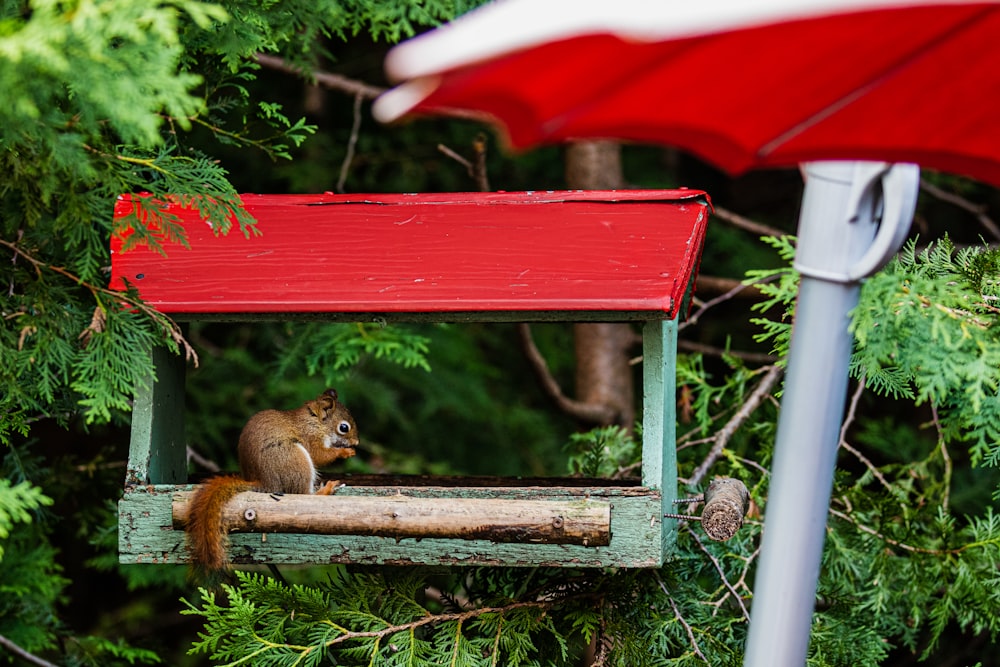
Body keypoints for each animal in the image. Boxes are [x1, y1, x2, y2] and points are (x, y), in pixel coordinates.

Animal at [184, 388, 360, 572]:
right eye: (344, 427)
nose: (356, 442)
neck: (314, 421)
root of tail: (264, 482)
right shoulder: (310, 438)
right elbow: (320, 455)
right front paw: (344, 452)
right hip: (295, 459)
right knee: (304, 494)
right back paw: (325, 490)